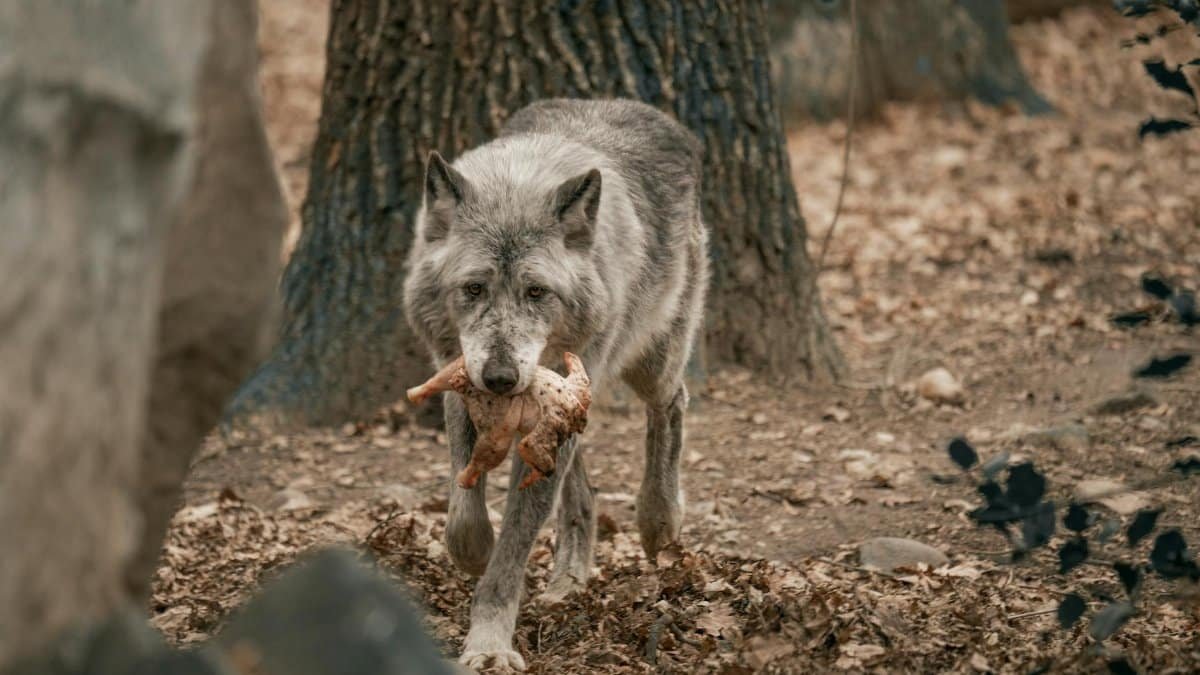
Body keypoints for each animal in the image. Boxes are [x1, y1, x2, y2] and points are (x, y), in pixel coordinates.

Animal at [403, 98, 709, 670]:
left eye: (536, 293)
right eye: (473, 289)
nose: (501, 379)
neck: (515, 184)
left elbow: (512, 552)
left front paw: (489, 644)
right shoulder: (458, 383)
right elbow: (463, 509)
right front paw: (473, 553)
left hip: (650, 365)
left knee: (671, 403)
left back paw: (659, 519)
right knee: (580, 489)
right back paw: (569, 579)